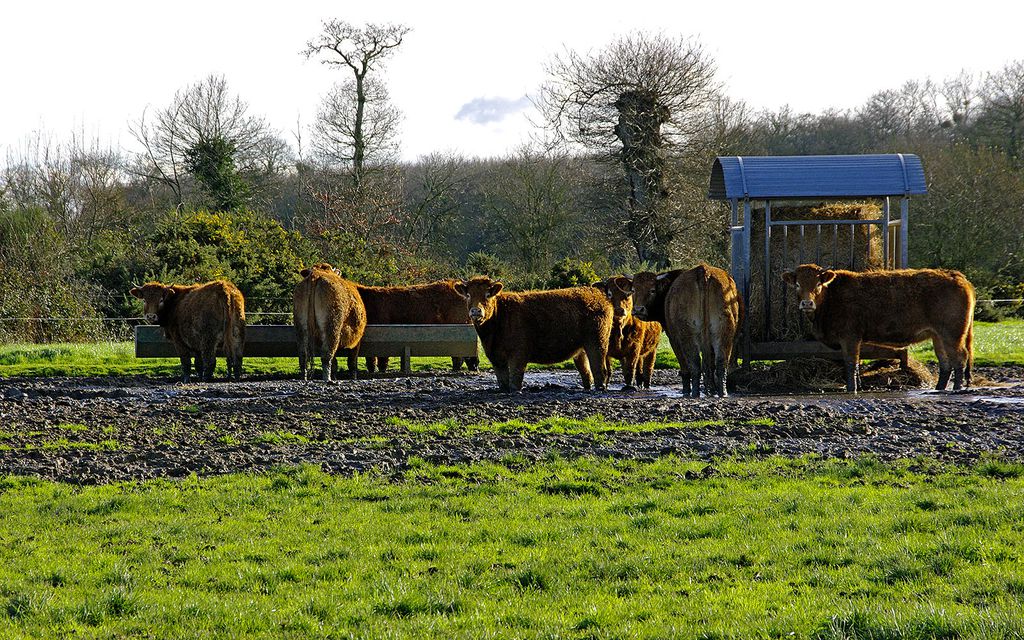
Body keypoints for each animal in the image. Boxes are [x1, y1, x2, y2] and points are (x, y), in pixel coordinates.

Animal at [454, 276, 610, 391]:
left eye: (487, 295)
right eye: (468, 295)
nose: (476, 311)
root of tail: (596, 294)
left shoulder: (518, 354)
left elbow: (515, 380)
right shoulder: (495, 357)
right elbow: (503, 382)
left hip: (597, 343)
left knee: (599, 369)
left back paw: (600, 388)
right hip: (581, 350)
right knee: (586, 372)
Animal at [626, 264, 741, 395]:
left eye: (652, 290)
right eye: (633, 290)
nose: (638, 309)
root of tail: (704, 271)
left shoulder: (673, 339)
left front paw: (686, 389)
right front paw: (711, 389)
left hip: (687, 335)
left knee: (695, 365)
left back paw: (694, 392)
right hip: (723, 334)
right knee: (721, 364)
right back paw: (722, 392)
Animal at [782, 262, 974, 391]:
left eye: (818, 284)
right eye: (798, 284)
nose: (807, 303)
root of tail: (956, 275)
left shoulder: (850, 337)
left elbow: (851, 363)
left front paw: (852, 388)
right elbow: (857, 364)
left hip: (952, 334)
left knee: (960, 358)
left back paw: (956, 388)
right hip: (938, 336)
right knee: (945, 363)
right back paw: (939, 388)